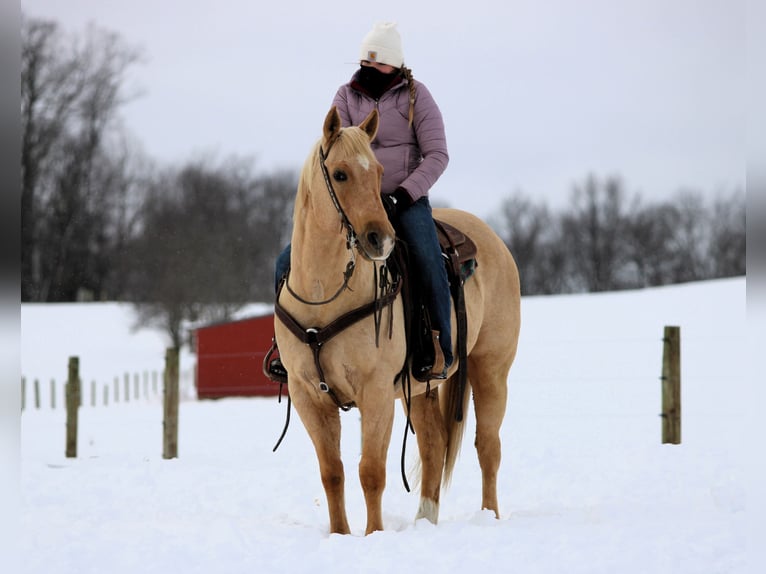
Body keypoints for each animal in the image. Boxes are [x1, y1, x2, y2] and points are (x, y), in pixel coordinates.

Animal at [273, 106, 521, 535]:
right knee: (433, 443)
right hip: (419, 388)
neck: (325, 296)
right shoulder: (308, 396)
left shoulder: (374, 393)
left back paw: (488, 516)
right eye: (340, 173)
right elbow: (332, 472)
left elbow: (371, 471)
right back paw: (425, 520)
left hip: (490, 370)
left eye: (377, 172)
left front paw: (373, 535)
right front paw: (340, 535)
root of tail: (494, 241)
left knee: (488, 447)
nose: (381, 240)